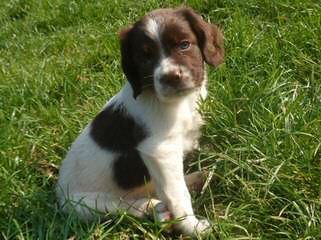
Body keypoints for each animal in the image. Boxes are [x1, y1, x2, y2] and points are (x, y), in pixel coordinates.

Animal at [57, 7, 222, 236]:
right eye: (145, 58)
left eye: (184, 44)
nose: (171, 77)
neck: (178, 103)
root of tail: (59, 194)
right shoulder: (160, 150)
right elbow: (177, 193)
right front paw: (192, 227)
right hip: (87, 205)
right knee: (127, 207)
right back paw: (157, 211)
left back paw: (197, 179)